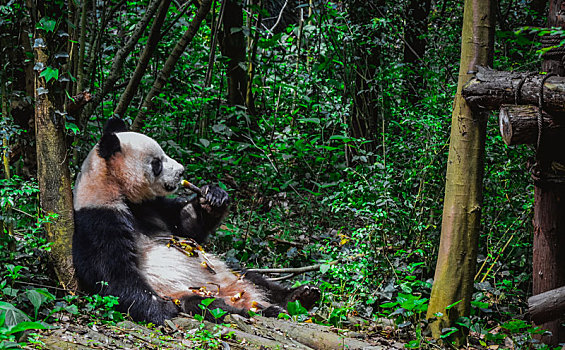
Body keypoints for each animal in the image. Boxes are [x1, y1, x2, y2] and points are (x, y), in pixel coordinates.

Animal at [71, 119, 318, 324]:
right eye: (157, 163)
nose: (181, 172)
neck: (119, 191)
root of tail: (237, 292)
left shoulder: (153, 206)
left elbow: (186, 226)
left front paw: (214, 197)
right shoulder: (99, 218)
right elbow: (111, 272)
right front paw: (160, 310)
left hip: (228, 269)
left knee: (256, 277)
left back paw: (301, 295)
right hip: (186, 291)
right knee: (208, 305)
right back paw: (256, 309)